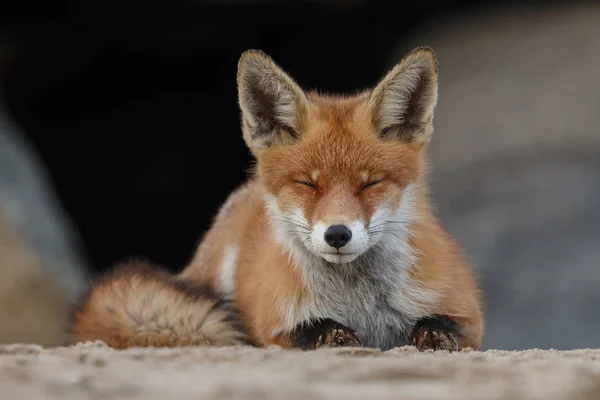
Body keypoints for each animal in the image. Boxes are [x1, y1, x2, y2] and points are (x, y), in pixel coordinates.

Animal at [70, 48, 482, 352]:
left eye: (371, 184)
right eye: (307, 184)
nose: (337, 234)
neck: (358, 302)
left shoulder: (467, 311)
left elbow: (447, 326)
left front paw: (434, 333)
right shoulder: (274, 321)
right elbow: (308, 331)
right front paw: (331, 334)